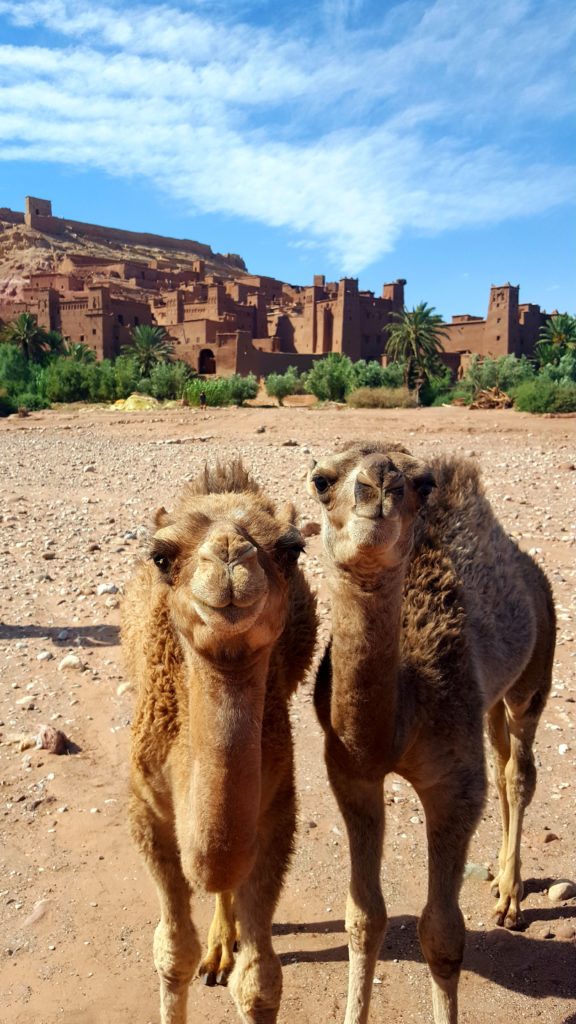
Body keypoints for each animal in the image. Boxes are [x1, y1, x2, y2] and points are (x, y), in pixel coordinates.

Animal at [121, 462, 315, 1024]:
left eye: (291, 550)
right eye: (161, 556)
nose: (230, 554)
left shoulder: (278, 808)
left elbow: (261, 981)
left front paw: (233, 955)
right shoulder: (146, 807)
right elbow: (172, 953)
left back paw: (222, 947)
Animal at [307, 444, 553, 1024]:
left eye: (422, 484)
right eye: (321, 481)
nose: (379, 482)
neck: (400, 717)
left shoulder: (454, 788)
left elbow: (441, 934)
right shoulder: (351, 775)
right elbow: (364, 917)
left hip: (535, 670)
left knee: (519, 769)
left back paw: (511, 897)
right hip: (487, 702)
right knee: (502, 757)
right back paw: (500, 881)